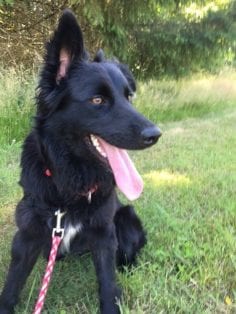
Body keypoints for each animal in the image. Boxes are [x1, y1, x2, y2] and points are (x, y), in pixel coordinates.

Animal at [0, 9, 160, 314]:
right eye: (97, 100)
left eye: (128, 97)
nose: (155, 134)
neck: (69, 184)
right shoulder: (27, 235)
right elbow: (12, 285)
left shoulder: (104, 234)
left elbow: (108, 284)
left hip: (126, 217)